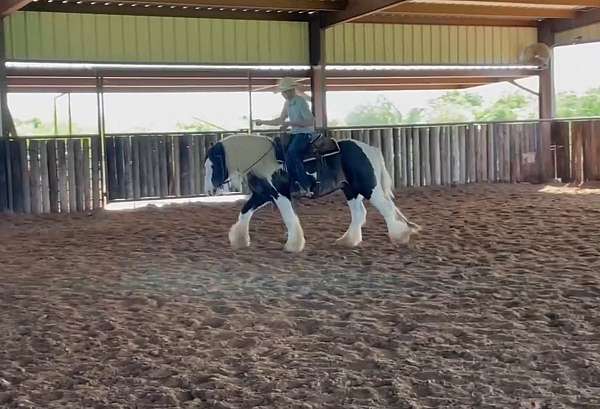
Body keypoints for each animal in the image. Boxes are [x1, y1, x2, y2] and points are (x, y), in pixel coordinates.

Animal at [204, 133, 420, 252]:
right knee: (360, 214)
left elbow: (289, 217)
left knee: (386, 209)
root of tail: (369, 149)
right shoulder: (262, 195)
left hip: (368, 187)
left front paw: (293, 245)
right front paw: (239, 240)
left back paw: (400, 236)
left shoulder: (280, 194)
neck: (263, 160)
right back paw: (347, 240)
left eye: (212, 165)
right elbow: (244, 213)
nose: (209, 190)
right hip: (350, 189)